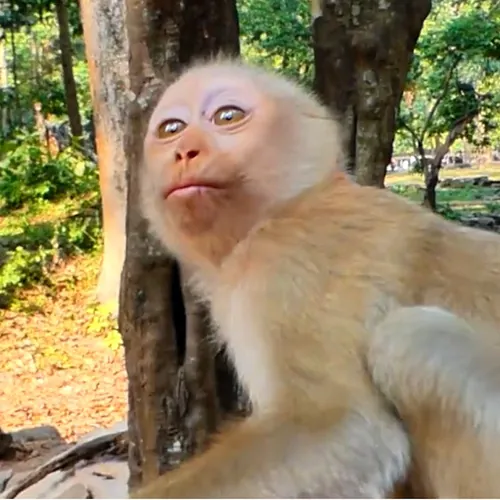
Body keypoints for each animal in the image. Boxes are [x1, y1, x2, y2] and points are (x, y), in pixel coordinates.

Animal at [136, 57, 500, 498]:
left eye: (227, 116)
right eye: (171, 129)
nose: (184, 151)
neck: (293, 203)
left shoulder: (288, 263)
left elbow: (345, 430)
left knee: (411, 337)